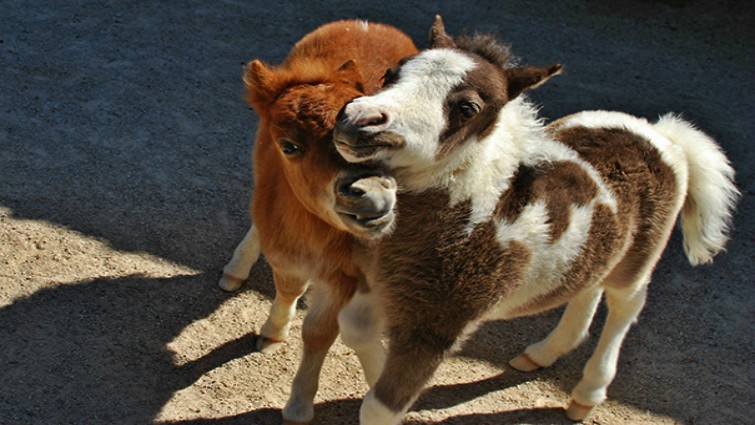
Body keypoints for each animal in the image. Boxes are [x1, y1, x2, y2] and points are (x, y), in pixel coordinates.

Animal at [218, 20, 416, 423]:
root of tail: (368, 23)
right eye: (289, 145)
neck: (313, 235)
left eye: (371, 138)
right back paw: (235, 270)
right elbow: (289, 289)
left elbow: (319, 332)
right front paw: (273, 333)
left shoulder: (348, 273)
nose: (371, 191)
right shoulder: (286, 252)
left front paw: (298, 404)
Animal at [333, 16, 739, 424]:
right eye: (390, 73)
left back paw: (588, 393)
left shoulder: (438, 324)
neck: (473, 208)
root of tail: (661, 133)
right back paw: (542, 354)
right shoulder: (375, 280)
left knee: (626, 305)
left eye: (467, 108)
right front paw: (380, 373)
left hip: (638, 261)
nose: (357, 120)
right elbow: (354, 329)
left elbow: (380, 408)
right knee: (588, 285)